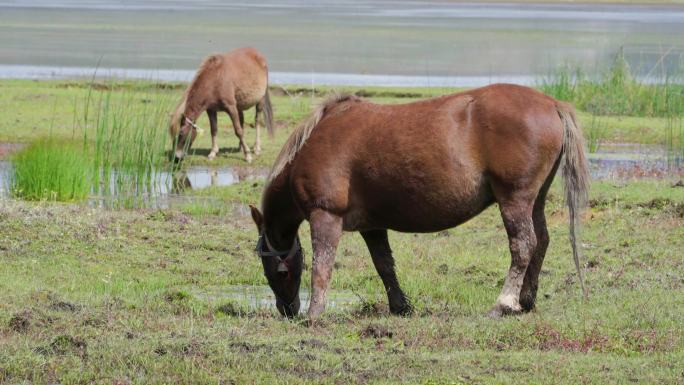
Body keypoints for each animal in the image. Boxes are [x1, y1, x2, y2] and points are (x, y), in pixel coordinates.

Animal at [250, 83, 588, 318]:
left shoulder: (326, 216)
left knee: (524, 245)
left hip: (515, 199)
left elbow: (323, 266)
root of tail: (553, 103)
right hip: (535, 200)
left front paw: (315, 313)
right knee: (541, 241)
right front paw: (400, 306)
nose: (287, 309)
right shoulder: (372, 227)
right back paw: (526, 300)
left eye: (278, 271)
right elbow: (384, 265)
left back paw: (504, 303)